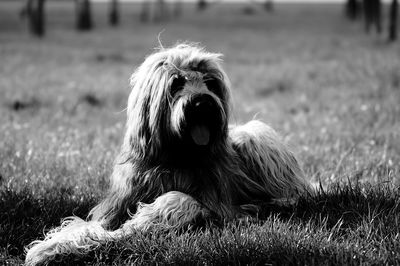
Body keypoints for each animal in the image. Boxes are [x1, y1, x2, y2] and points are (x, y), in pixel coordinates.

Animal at [25, 42, 310, 264]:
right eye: (176, 83)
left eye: (210, 83)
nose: (203, 103)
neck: (174, 160)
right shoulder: (115, 207)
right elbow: (87, 227)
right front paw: (50, 248)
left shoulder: (219, 209)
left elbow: (177, 202)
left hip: (256, 136)